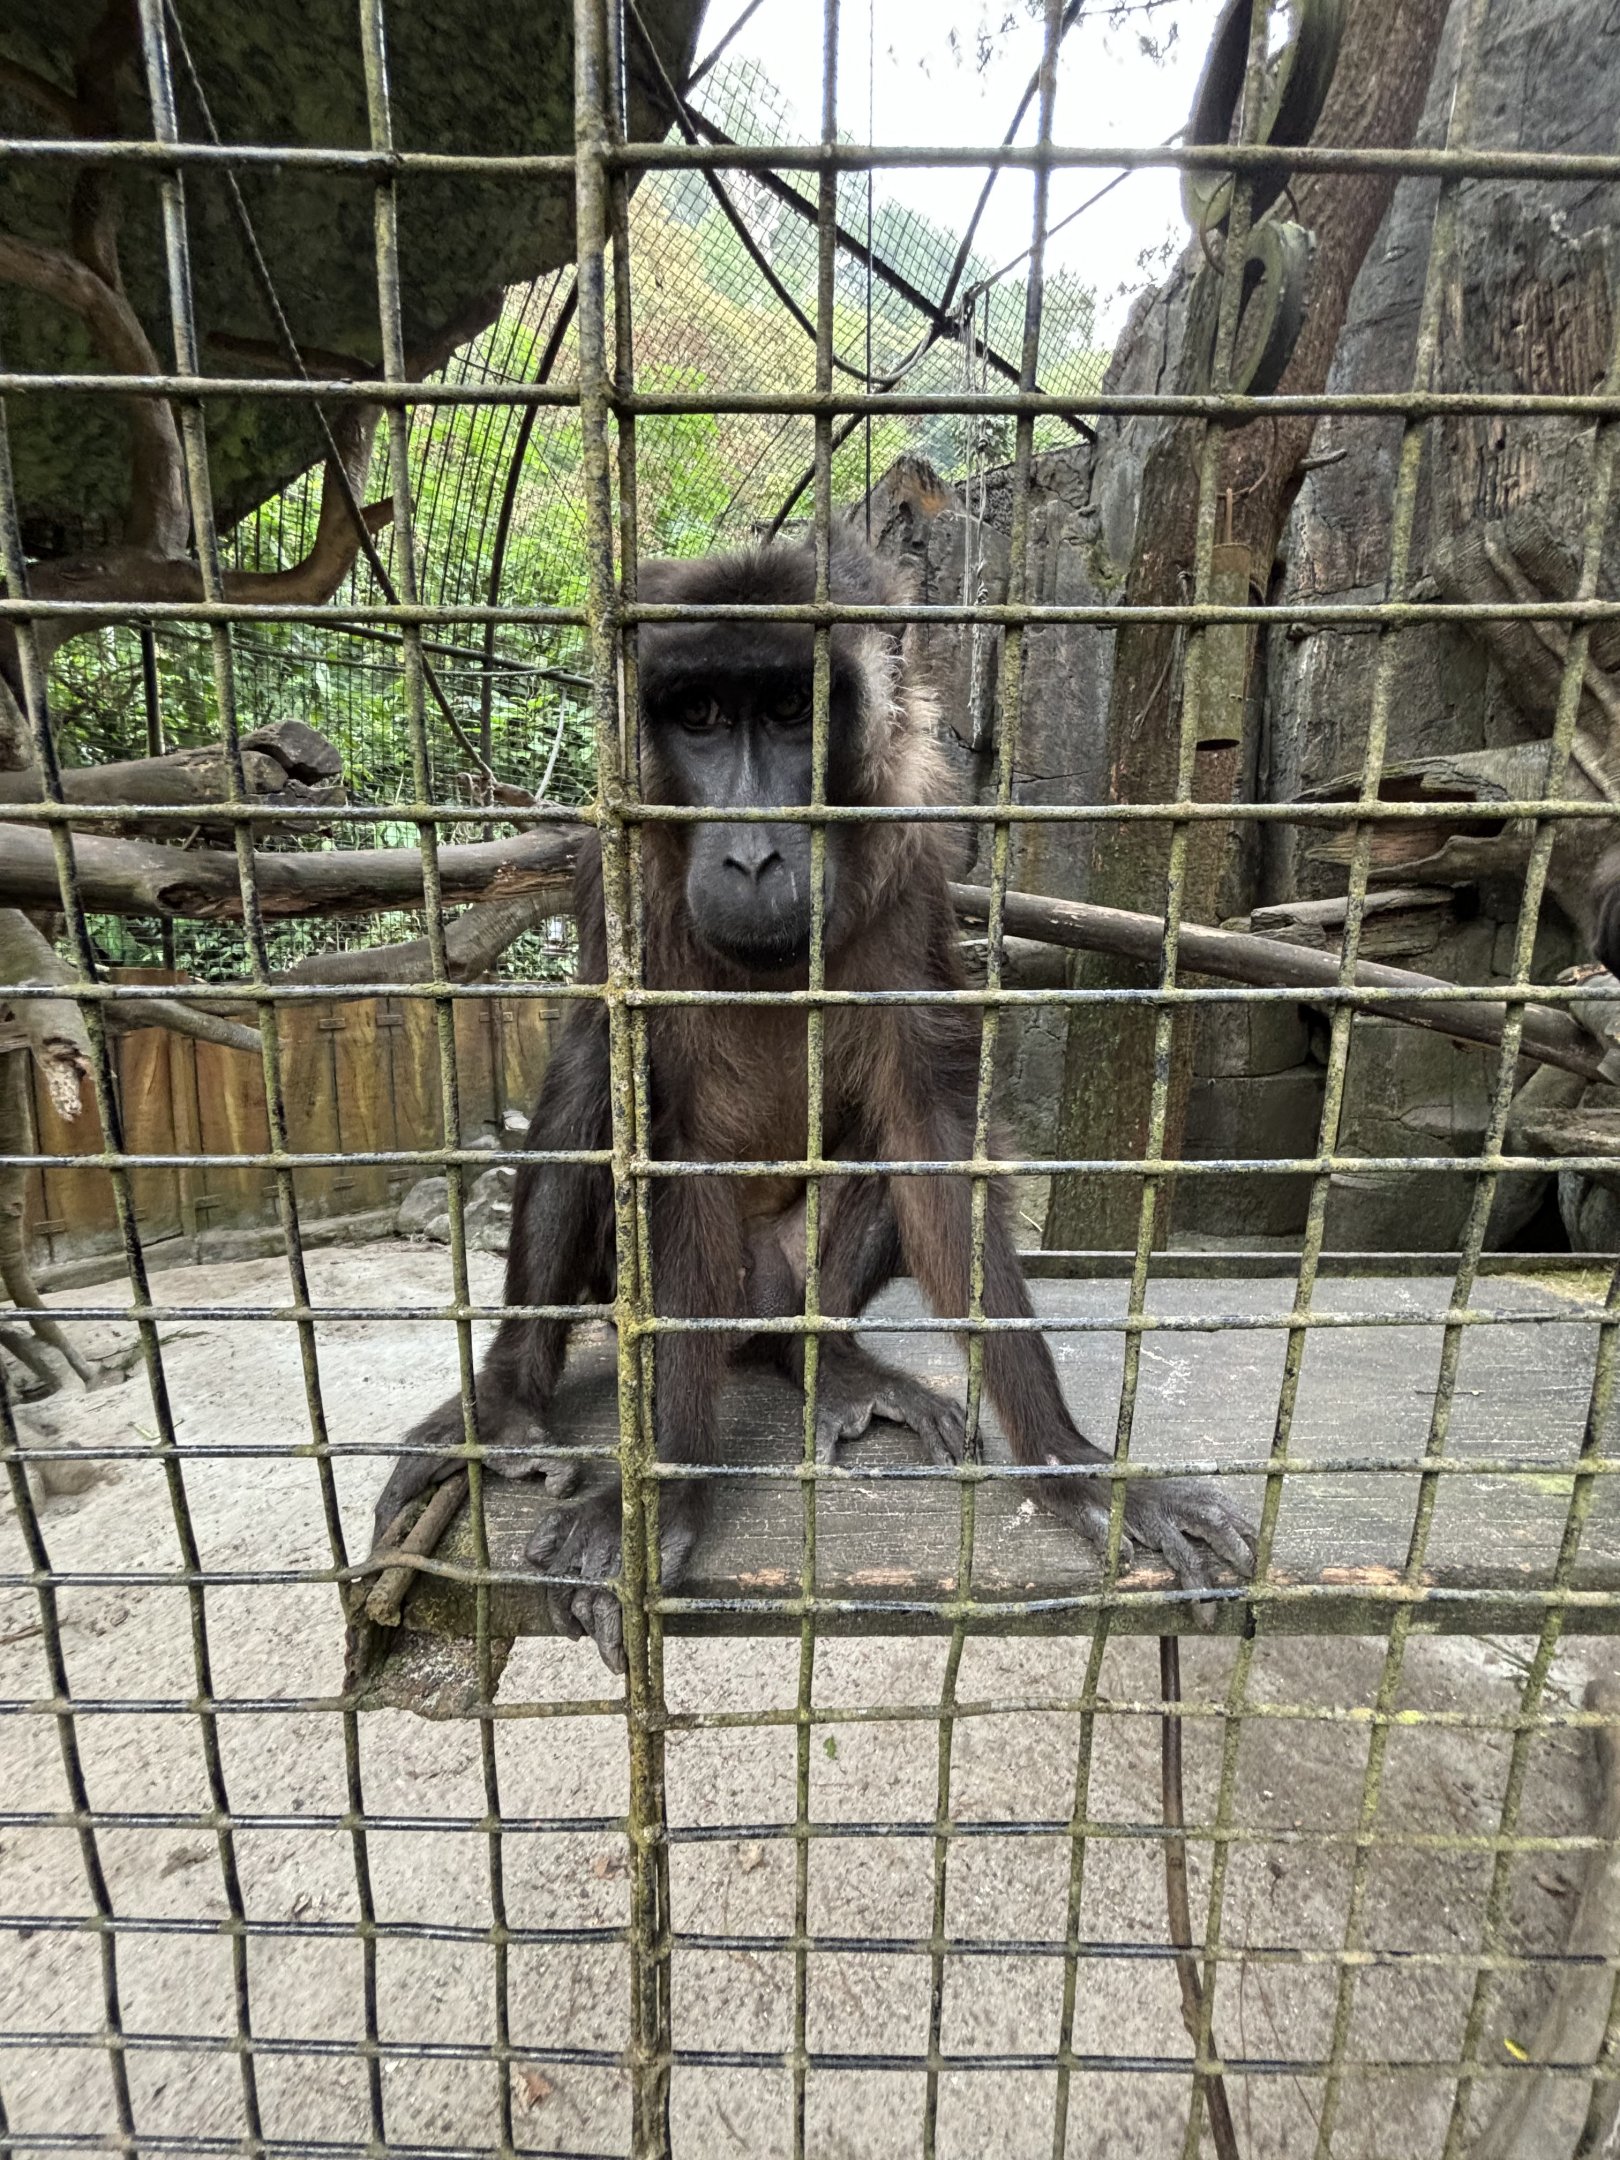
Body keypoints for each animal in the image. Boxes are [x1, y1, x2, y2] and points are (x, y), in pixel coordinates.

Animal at [371, 535, 1256, 1671]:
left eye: (794, 707)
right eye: (701, 714)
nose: (752, 853)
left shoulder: (916, 858)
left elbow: (931, 1134)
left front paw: (1070, 1463)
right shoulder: (617, 872)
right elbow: (646, 1118)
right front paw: (664, 1496)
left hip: (788, 1276)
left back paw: (818, 1360)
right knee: (586, 1097)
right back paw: (518, 1400)